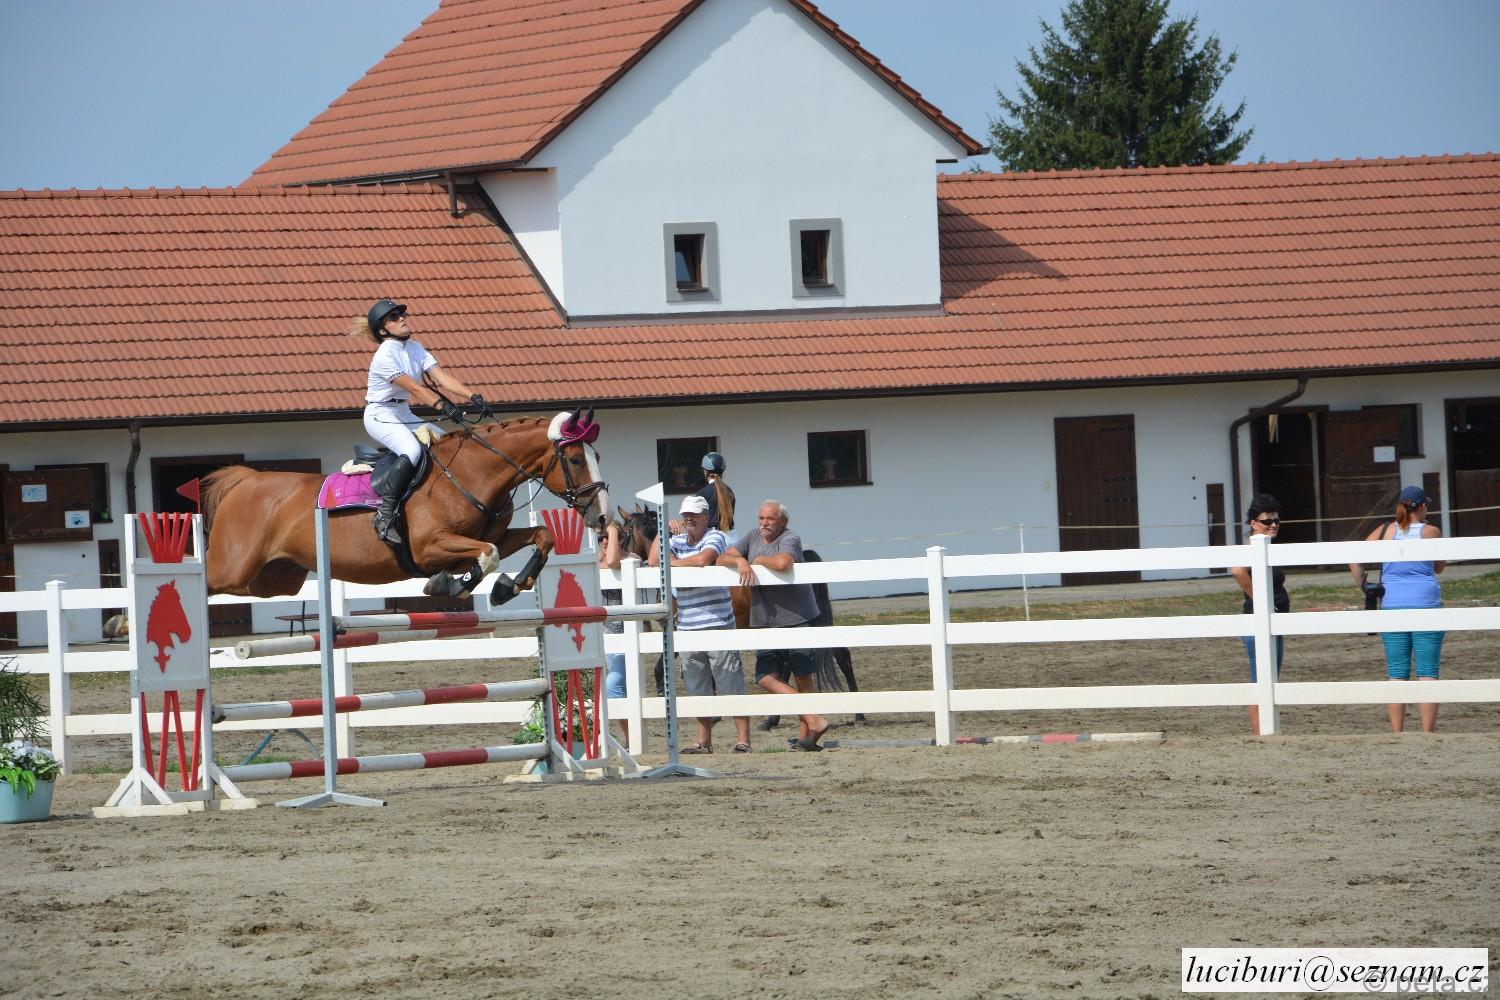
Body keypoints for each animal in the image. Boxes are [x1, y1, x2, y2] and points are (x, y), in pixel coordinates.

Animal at [199, 411, 609, 603]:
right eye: (575, 460)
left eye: (597, 456)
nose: (602, 516)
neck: (471, 473)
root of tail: (245, 481)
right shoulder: (429, 547)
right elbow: (487, 555)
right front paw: (451, 585)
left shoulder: (493, 535)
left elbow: (540, 536)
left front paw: (508, 587)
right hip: (233, 568)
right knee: (207, 584)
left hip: (274, 580)